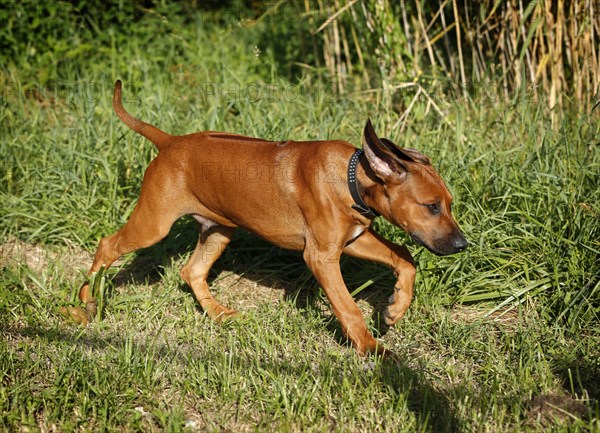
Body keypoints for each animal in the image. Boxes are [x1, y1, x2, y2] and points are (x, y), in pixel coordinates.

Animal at [77, 80, 466, 354]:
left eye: (448, 203)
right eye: (431, 206)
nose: (462, 245)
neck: (351, 176)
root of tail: (171, 142)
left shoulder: (354, 238)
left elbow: (404, 256)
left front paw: (396, 307)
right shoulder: (321, 257)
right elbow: (348, 306)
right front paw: (371, 348)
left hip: (219, 229)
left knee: (192, 271)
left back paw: (219, 313)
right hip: (154, 224)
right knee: (108, 245)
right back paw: (86, 299)